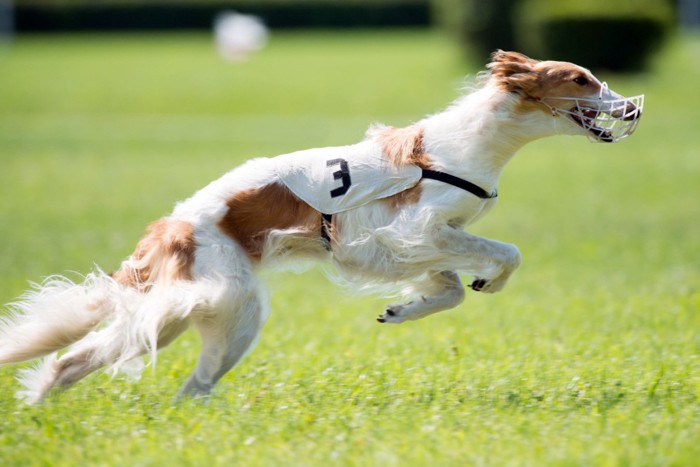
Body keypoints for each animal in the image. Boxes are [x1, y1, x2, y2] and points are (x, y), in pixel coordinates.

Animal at [0, 50, 644, 402]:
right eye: (582, 79)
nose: (635, 107)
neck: (471, 143)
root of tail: (171, 226)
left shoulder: (412, 246)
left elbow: (451, 289)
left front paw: (403, 310)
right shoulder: (415, 231)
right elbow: (503, 254)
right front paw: (485, 280)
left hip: (212, 315)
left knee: (135, 372)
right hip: (211, 300)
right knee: (105, 358)